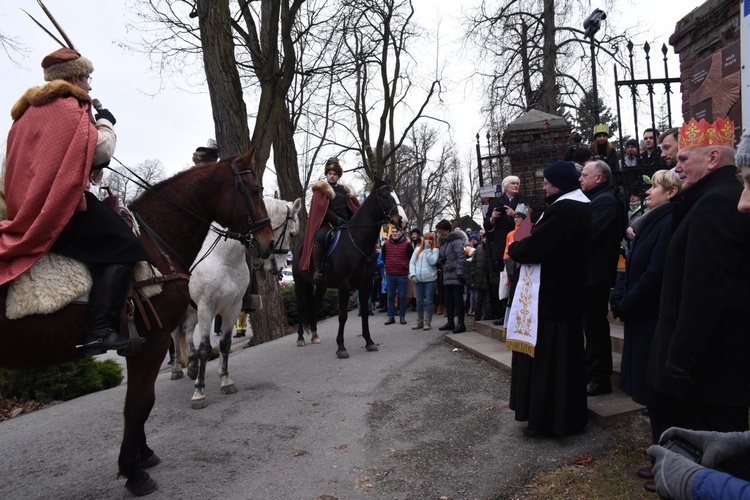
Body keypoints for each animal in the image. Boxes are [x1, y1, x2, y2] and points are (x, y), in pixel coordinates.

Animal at [0, 146, 274, 494]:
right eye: (254, 190)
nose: (268, 243)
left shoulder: (228, 307)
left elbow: (215, 351)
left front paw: (143, 454)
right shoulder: (158, 335)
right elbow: (140, 402)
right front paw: (134, 469)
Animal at [173, 193, 302, 408]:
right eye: (292, 234)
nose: (280, 268)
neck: (223, 259)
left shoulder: (233, 308)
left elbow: (225, 344)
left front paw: (226, 381)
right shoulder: (206, 308)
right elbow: (205, 348)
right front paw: (199, 392)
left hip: (193, 312)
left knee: (188, 332)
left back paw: (191, 366)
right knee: (176, 336)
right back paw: (176, 369)